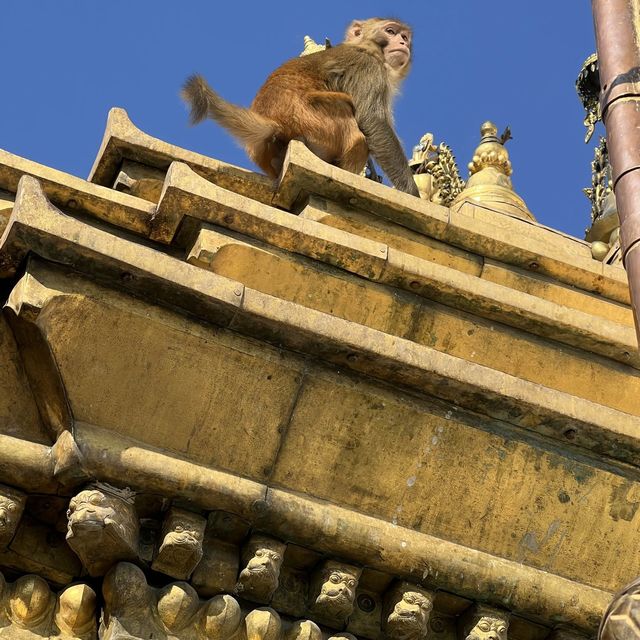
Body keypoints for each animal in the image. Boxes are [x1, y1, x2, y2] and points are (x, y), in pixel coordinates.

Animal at [182, 18, 420, 196]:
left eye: (405, 37)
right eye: (390, 31)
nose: (403, 43)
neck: (366, 48)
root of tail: (276, 123)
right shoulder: (368, 68)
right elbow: (373, 120)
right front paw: (411, 193)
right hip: (316, 119)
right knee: (353, 125)